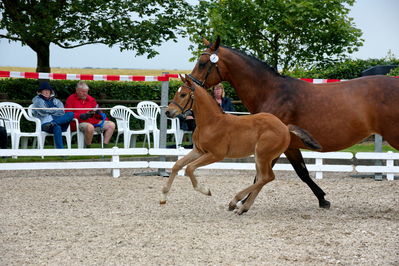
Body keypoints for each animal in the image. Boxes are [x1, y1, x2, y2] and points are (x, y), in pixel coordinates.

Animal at [161, 74, 320, 214]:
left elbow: (189, 168)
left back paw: (234, 201)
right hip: (260, 157)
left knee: (267, 177)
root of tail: (285, 127)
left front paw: (205, 190)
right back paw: (242, 208)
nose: (168, 112)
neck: (211, 122)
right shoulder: (199, 151)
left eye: (183, 95)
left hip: (262, 155)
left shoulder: (215, 155)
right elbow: (177, 165)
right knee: (263, 178)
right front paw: (163, 196)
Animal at [190, 36, 399, 209]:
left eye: (202, 63)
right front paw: (323, 199)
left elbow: (262, 175)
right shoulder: (289, 146)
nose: (190, 84)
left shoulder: (272, 146)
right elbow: (302, 173)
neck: (272, 92)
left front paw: (242, 201)